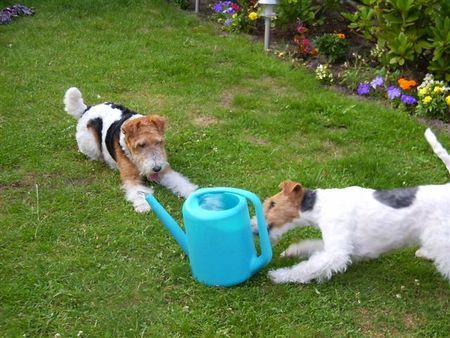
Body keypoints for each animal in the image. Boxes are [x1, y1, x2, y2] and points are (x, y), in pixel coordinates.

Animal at [64, 88, 198, 214]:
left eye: (159, 142)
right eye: (141, 145)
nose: (156, 168)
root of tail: (87, 109)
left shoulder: (165, 170)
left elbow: (179, 181)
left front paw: (192, 192)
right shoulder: (131, 178)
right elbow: (139, 191)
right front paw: (144, 206)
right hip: (91, 143)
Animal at [262, 128, 448, 284]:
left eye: (272, 204)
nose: (256, 227)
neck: (319, 205)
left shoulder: (337, 252)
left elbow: (308, 267)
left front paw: (279, 275)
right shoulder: (350, 247)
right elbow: (313, 246)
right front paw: (292, 251)